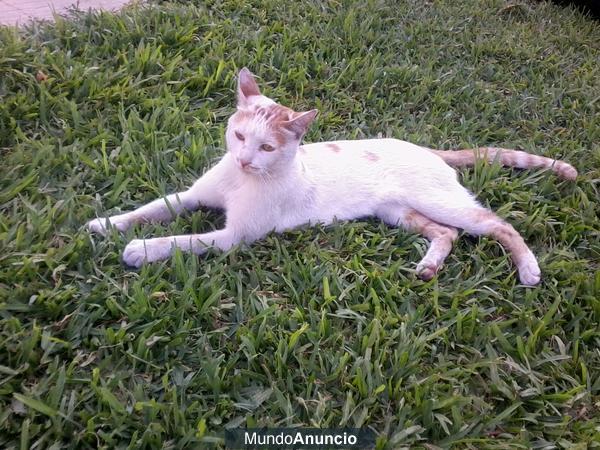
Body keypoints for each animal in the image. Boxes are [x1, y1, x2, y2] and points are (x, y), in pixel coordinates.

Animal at [86, 67, 580, 284]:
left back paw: (529, 268)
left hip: (444, 204)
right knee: (446, 234)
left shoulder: (232, 237)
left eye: (267, 148)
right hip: (397, 214)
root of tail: (423, 147)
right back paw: (428, 266)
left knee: (497, 225)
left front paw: (139, 250)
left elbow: (179, 240)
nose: (244, 161)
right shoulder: (191, 196)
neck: (240, 181)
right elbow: (151, 209)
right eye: (238, 135)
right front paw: (106, 224)